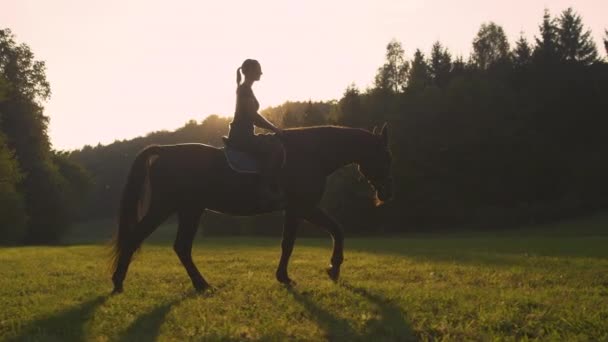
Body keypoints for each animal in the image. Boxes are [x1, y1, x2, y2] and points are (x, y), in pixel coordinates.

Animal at [109, 124, 394, 292]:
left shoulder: (296, 210)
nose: (386, 194)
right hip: (165, 207)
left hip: (190, 210)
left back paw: (201, 284)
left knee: (181, 247)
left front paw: (285, 276)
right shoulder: (304, 207)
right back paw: (119, 282)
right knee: (137, 238)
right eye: (384, 157)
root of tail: (165, 152)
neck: (310, 154)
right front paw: (333, 267)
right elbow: (336, 230)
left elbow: (290, 243)